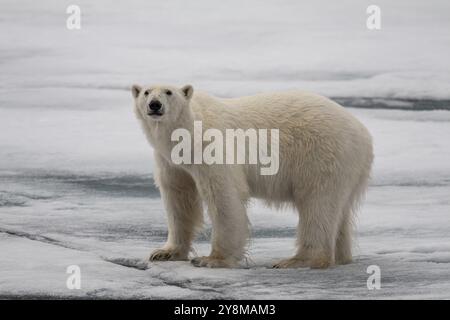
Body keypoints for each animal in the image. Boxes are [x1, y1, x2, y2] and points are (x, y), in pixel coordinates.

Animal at [132, 84, 374, 268]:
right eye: (146, 92)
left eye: (168, 92)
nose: (155, 105)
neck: (189, 131)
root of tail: (363, 133)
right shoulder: (171, 162)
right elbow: (178, 199)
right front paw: (164, 253)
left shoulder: (211, 147)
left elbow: (224, 197)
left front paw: (211, 259)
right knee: (337, 210)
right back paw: (341, 257)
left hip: (322, 154)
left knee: (317, 204)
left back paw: (297, 260)